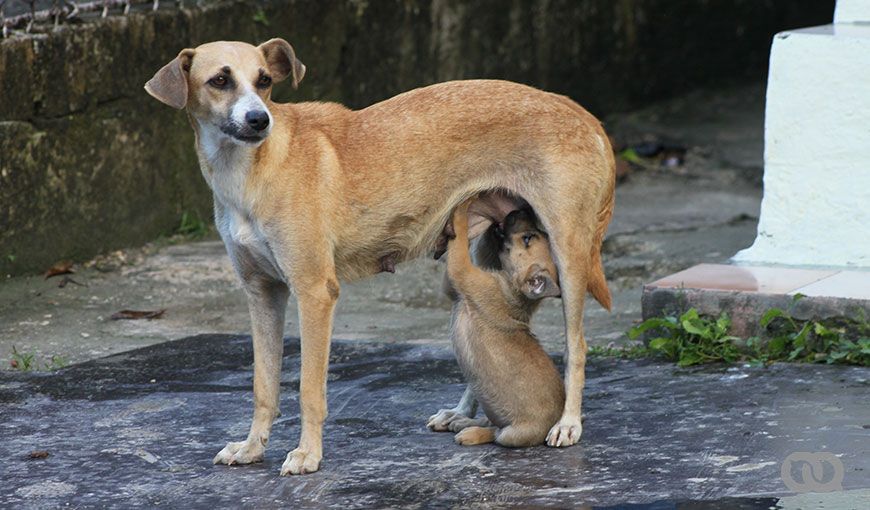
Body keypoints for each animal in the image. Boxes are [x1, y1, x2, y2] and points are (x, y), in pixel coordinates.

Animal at [432, 199, 568, 446]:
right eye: (534, 235)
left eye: (528, 238)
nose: (521, 209)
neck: (515, 290)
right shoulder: (453, 289)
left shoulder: (463, 271)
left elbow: (459, 240)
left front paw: (463, 206)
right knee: (489, 422)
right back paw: (461, 421)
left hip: (514, 434)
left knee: (495, 433)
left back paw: (470, 432)